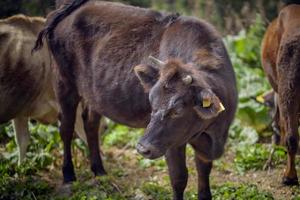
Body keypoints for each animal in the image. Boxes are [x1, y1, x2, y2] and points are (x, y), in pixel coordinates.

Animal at [34, 1, 237, 198]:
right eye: (152, 104)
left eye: (178, 110)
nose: (142, 148)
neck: (212, 133)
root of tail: (68, 8)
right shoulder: (172, 144)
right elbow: (179, 178)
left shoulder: (205, 145)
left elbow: (204, 173)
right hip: (64, 84)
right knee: (66, 129)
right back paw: (68, 175)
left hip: (94, 95)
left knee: (90, 125)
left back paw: (99, 171)